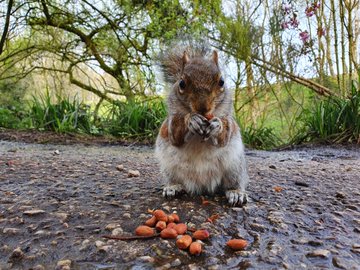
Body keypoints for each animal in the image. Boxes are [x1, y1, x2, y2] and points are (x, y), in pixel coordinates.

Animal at [155, 44, 250, 205]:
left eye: (221, 81)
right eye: (181, 83)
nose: (203, 108)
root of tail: (201, 186)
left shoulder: (228, 121)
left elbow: (224, 138)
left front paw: (217, 125)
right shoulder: (171, 123)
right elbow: (176, 136)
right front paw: (191, 120)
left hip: (234, 166)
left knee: (232, 183)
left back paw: (236, 192)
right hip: (168, 167)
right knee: (174, 179)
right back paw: (173, 187)